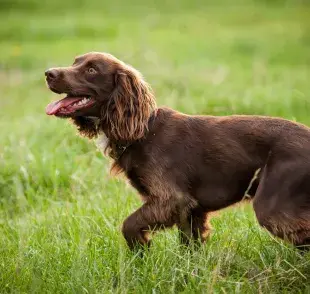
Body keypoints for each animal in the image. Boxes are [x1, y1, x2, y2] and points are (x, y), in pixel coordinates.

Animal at [44, 51, 310, 249]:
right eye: (75, 62)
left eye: (91, 70)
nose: (48, 73)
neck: (143, 131)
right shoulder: (191, 211)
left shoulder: (171, 199)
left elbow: (129, 224)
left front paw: (141, 251)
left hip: (272, 205)